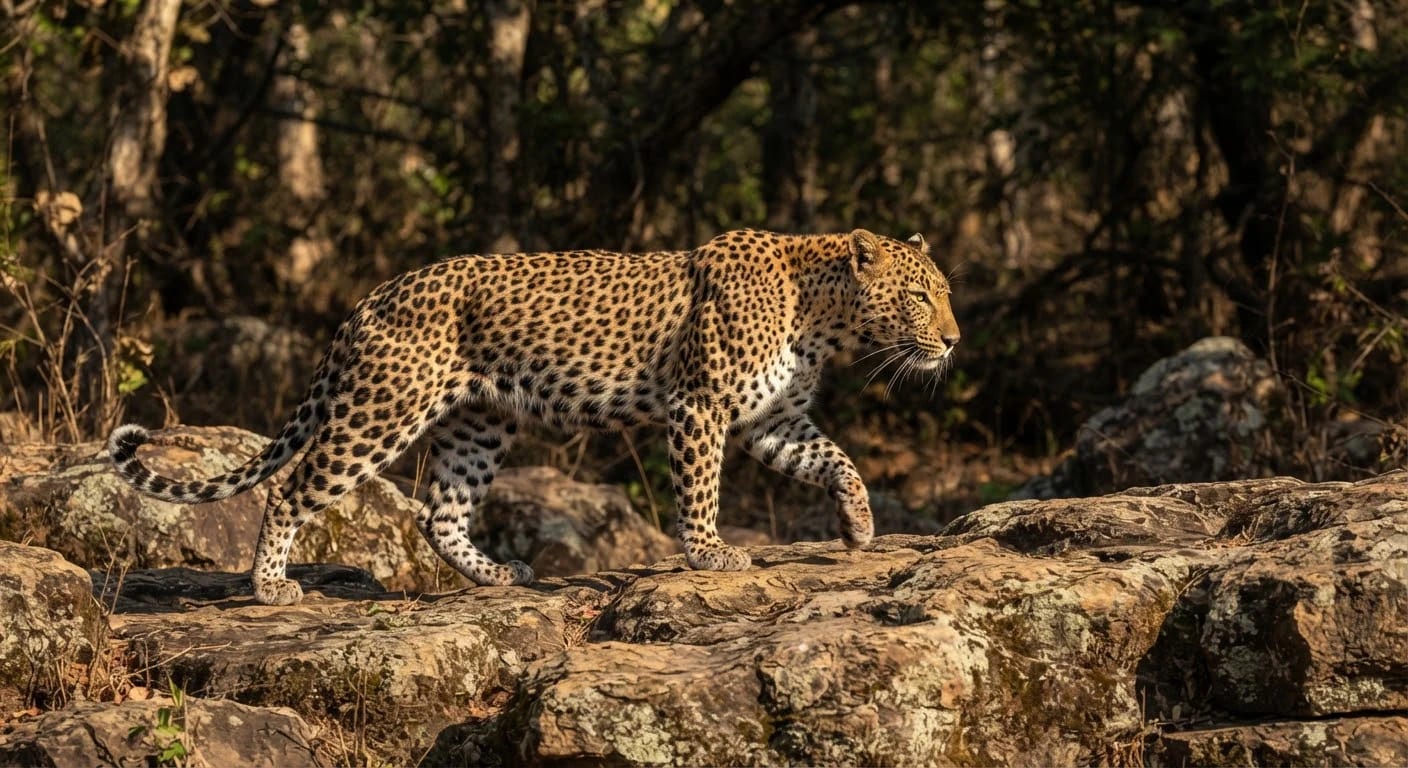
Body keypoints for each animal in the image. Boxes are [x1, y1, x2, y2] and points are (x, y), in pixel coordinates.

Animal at [108, 228, 960, 605]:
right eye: (922, 295)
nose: (955, 339)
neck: (821, 320)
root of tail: (371, 295)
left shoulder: (769, 418)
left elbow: (839, 460)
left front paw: (858, 527)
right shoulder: (702, 407)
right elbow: (699, 491)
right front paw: (711, 555)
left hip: (478, 422)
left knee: (438, 511)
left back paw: (498, 575)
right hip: (383, 408)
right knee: (292, 487)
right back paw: (269, 587)